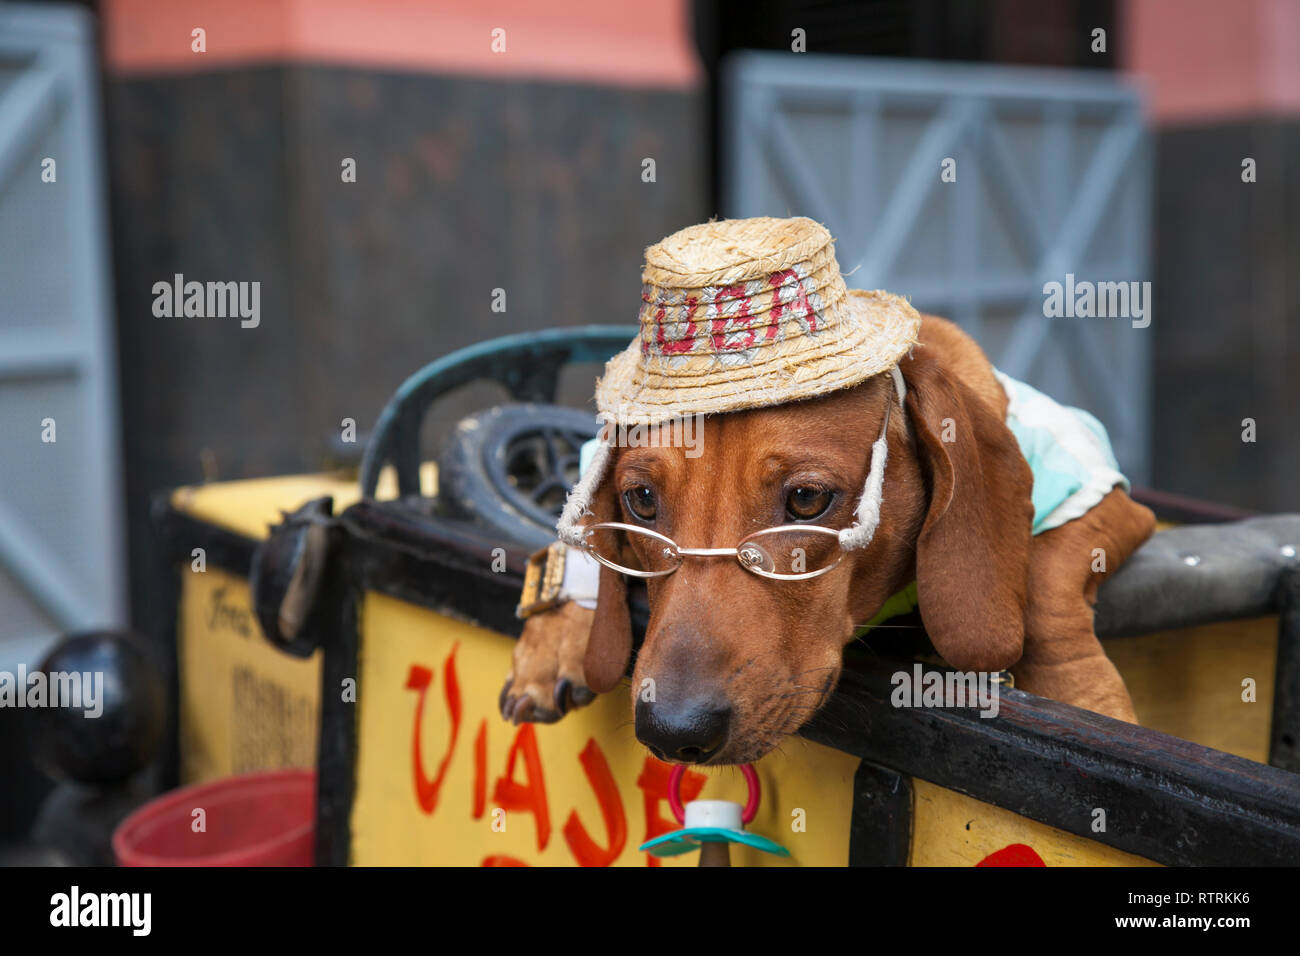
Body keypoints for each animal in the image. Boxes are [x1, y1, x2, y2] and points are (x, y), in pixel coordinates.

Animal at [499, 317, 1159, 764]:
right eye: (640, 499)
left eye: (807, 499)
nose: (673, 731)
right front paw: (556, 632)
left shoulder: (1110, 493)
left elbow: (1046, 584)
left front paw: (1084, 693)